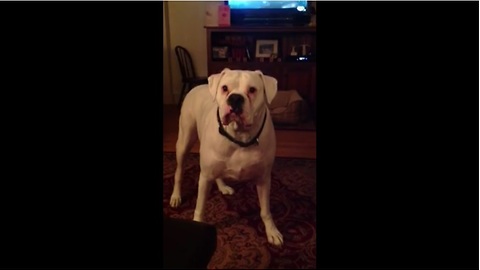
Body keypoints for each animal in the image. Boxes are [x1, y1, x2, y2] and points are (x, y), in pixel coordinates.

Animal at [169, 68, 284, 247]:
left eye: (252, 90)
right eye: (224, 88)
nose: (235, 98)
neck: (240, 135)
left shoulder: (264, 179)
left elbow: (265, 210)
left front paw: (271, 231)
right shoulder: (204, 177)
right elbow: (200, 207)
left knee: (218, 174)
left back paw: (223, 187)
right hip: (184, 142)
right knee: (179, 172)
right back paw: (176, 196)